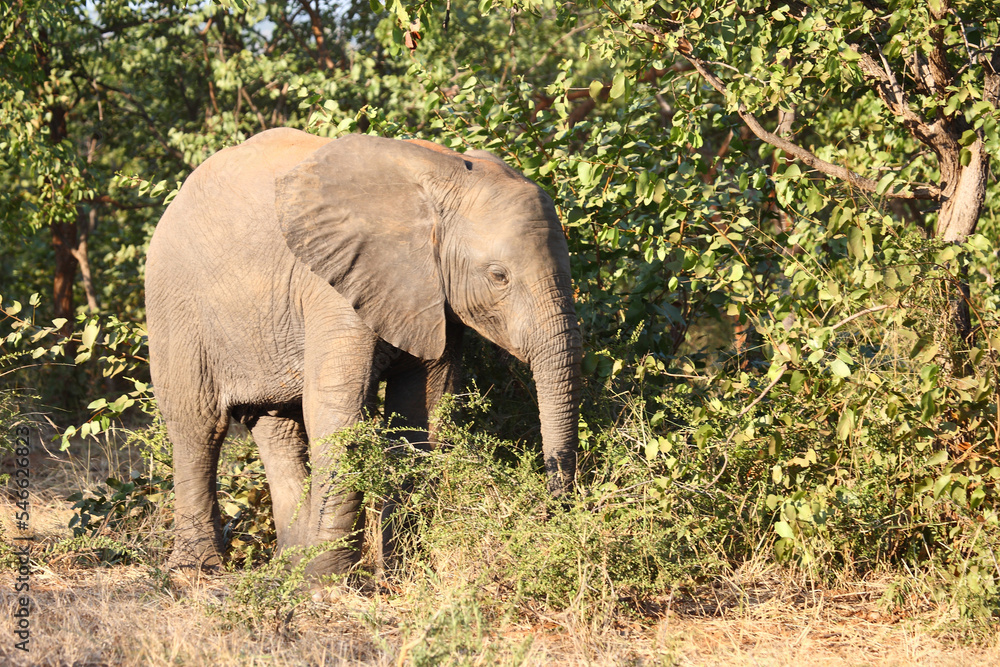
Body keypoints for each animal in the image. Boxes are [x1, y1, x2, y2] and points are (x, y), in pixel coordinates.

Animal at [145, 128, 581, 580]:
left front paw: (398, 572)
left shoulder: (432, 294)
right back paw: (195, 571)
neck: (440, 180)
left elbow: (422, 415)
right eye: (499, 276)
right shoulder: (333, 285)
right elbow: (340, 411)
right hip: (175, 305)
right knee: (198, 426)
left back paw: (288, 567)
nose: (553, 510)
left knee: (277, 429)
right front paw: (327, 583)